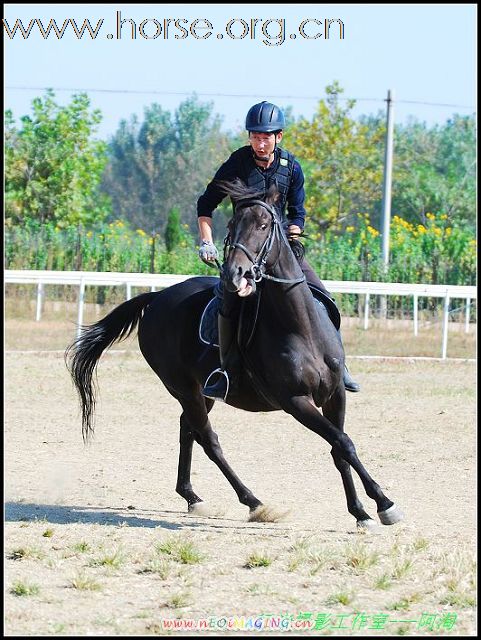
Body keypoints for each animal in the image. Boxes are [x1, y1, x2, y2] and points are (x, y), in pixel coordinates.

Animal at [63, 179, 402, 528]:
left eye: (264, 225)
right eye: (231, 225)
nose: (234, 273)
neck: (301, 328)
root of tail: (156, 298)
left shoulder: (335, 394)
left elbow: (340, 447)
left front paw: (361, 511)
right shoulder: (295, 401)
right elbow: (342, 442)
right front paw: (384, 503)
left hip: (201, 393)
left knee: (188, 429)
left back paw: (192, 496)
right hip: (184, 389)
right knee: (208, 439)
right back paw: (254, 502)